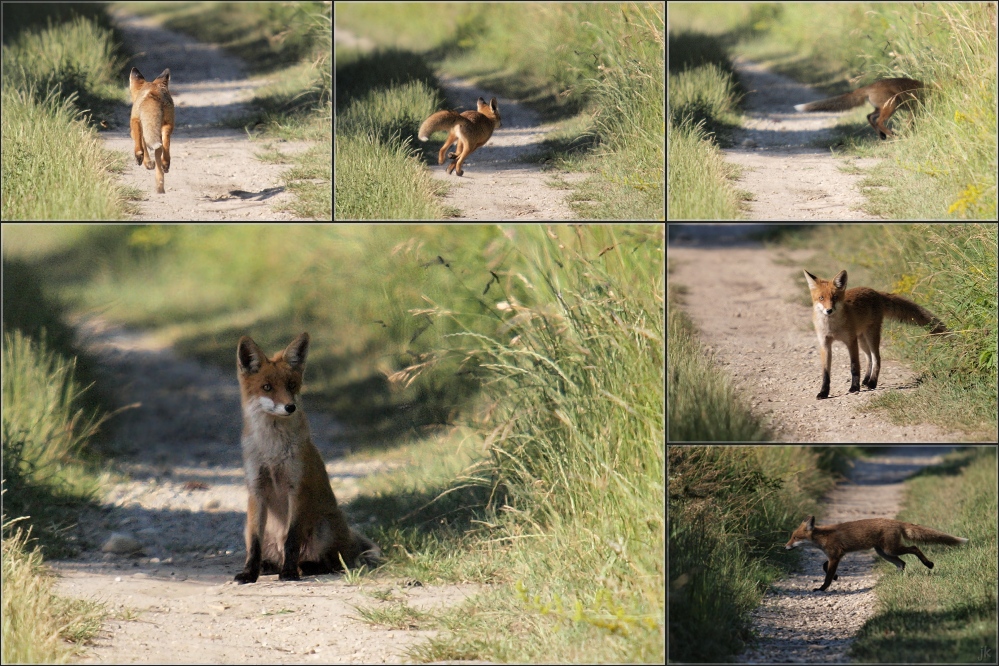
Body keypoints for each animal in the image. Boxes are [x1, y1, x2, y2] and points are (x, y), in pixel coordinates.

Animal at [232, 332, 380, 580]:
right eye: (267, 387)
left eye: (291, 385)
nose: (290, 407)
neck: (272, 451)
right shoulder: (257, 489)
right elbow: (254, 544)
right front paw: (249, 573)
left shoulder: (297, 487)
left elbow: (292, 540)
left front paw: (289, 573)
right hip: (248, 524)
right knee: (270, 552)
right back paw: (268, 566)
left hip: (324, 528)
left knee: (332, 562)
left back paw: (306, 566)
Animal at [788, 512, 968, 592]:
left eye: (795, 537)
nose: (786, 547)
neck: (824, 536)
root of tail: (896, 521)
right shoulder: (836, 556)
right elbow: (824, 566)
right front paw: (836, 577)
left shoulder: (835, 555)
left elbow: (827, 574)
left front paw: (822, 588)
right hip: (884, 552)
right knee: (902, 563)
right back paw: (896, 579)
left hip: (890, 549)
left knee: (914, 548)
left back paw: (928, 564)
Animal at [792, 77, 924, 139]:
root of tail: (869, 86)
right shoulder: (915, 109)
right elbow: (910, 124)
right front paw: (908, 135)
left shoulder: (915, 111)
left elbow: (911, 124)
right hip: (892, 106)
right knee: (878, 121)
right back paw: (891, 134)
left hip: (882, 108)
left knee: (869, 116)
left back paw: (882, 135)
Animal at [804, 268, 944, 400]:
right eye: (821, 298)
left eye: (835, 298)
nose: (829, 310)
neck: (832, 327)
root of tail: (875, 291)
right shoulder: (825, 344)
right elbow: (825, 373)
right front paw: (824, 392)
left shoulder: (851, 341)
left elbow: (854, 366)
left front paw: (854, 387)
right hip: (862, 340)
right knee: (869, 358)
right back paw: (866, 380)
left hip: (871, 336)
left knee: (876, 358)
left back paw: (872, 382)